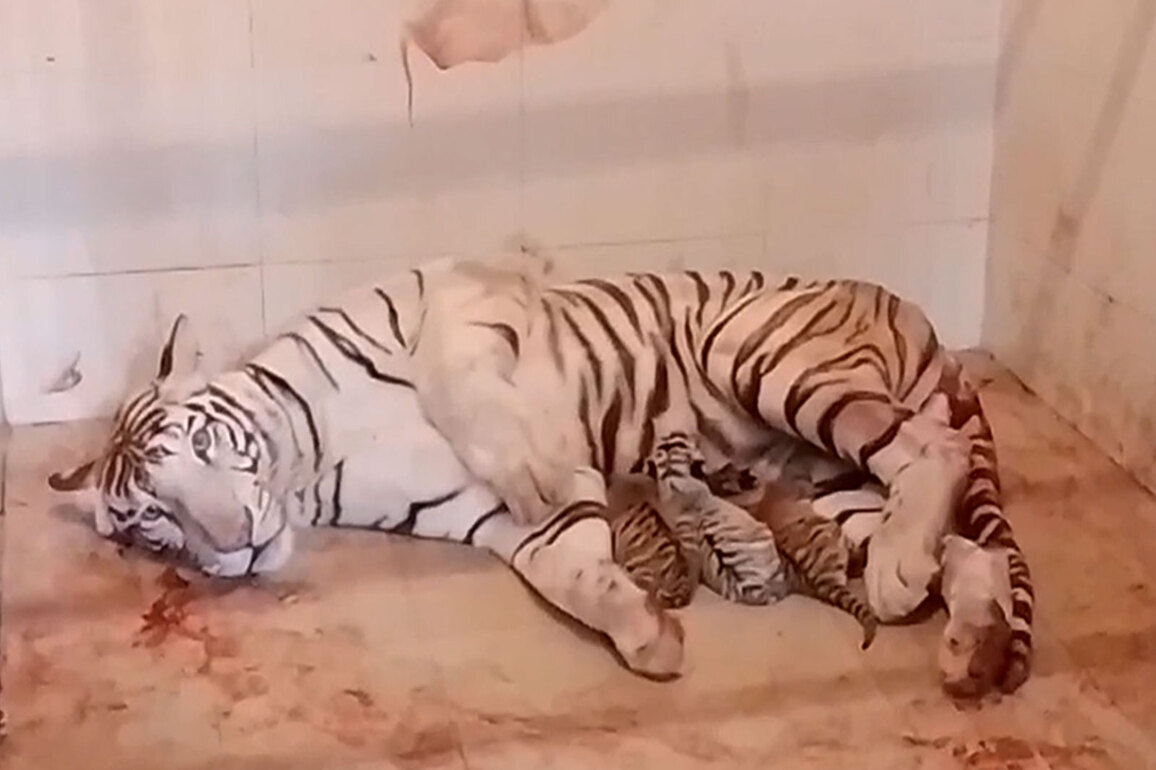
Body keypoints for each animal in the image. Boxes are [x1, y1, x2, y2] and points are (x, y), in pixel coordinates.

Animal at [46, 254, 1031, 698]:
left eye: (203, 446)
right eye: (151, 520)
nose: (233, 546)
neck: (312, 453)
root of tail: (912, 313)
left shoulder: (450, 293)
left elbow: (466, 386)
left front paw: (543, 465)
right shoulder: (475, 516)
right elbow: (572, 573)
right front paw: (647, 635)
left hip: (767, 361)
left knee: (932, 451)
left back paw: (912, 585)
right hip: (827, 479)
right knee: (962, 547)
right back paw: (962, 641)